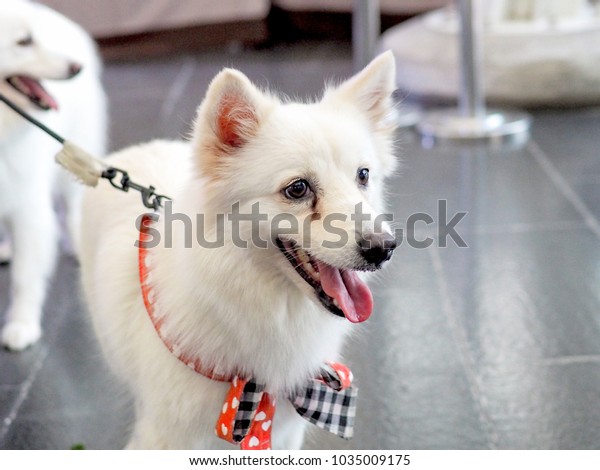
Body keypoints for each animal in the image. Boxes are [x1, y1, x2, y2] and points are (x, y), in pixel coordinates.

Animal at [0, 0, 106, 350]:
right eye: (24, 42)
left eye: (35, 38)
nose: (77, 67)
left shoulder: (28, 208)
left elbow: (24, 277)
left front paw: (21, 325)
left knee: (73, 209)